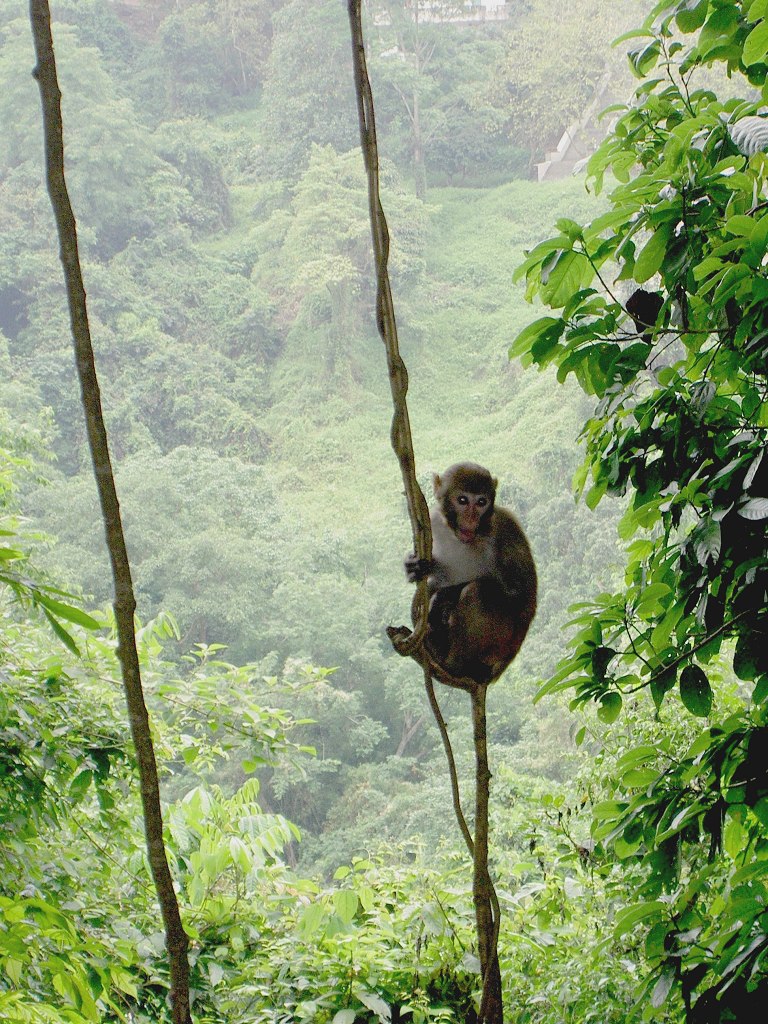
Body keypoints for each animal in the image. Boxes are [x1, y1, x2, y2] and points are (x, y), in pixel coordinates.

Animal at [405, 468, 536, 684]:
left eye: (481, 502)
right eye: (463, 500)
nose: (471, 518)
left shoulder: (505, 528)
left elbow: (521, 595)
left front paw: (445, 597)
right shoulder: (434, 522)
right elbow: (437, 576)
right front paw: (413, 567)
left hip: (501, 644)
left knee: (479, 591)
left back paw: (454, 665)